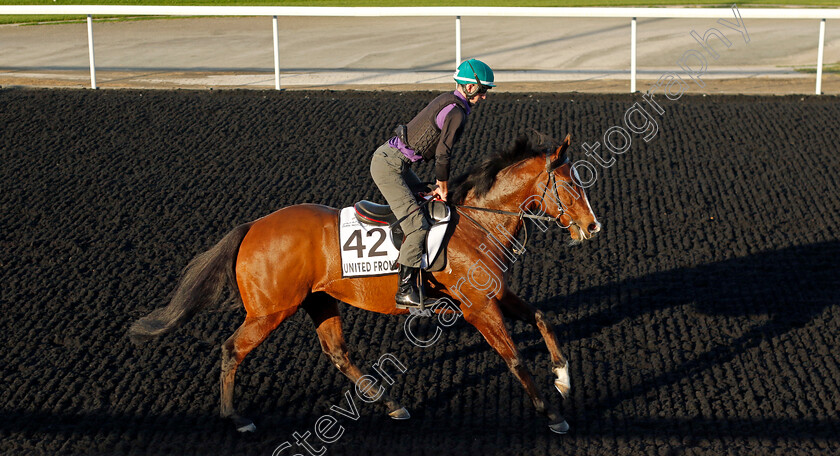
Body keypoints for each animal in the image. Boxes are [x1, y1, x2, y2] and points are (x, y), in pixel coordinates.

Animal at [128, 131, 600, 434]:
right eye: (570, 185)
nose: (593, 226)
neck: (477, 222)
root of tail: (251, 228)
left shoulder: (496, 293)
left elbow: (541, 318)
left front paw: (563, 378)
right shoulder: (478, 306)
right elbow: (514, 357)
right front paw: (551, 414)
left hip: (319, 301)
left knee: (337, 352)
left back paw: (392, 405)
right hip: (270, 310)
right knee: (232, 349)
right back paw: (237, 418)